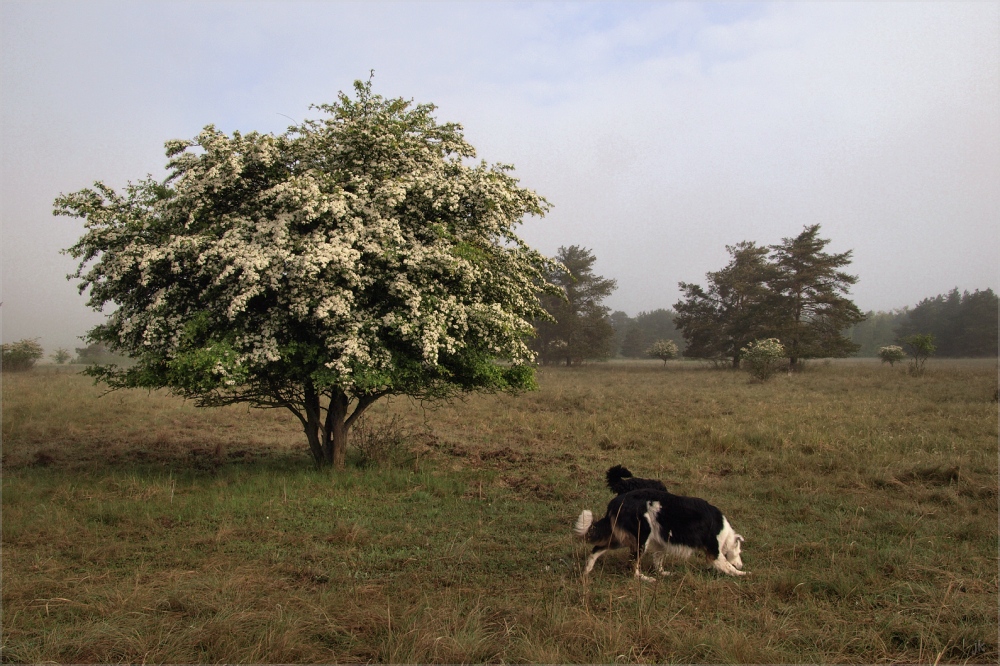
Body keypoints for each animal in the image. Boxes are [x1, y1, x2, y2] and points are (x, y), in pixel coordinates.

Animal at [576, 486, 748, 580]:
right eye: (739, 552)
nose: (741, 564)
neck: (725, 533)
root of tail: (616, 502)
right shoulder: (714, 552)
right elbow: (728, 566)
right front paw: (743, 573)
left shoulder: (662, 543)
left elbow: (658, 560)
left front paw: (663, 573)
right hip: (640, 538)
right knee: (633, 565)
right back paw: (644, 578)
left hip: (621, 538)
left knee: (596, 549)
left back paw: (586, 571)